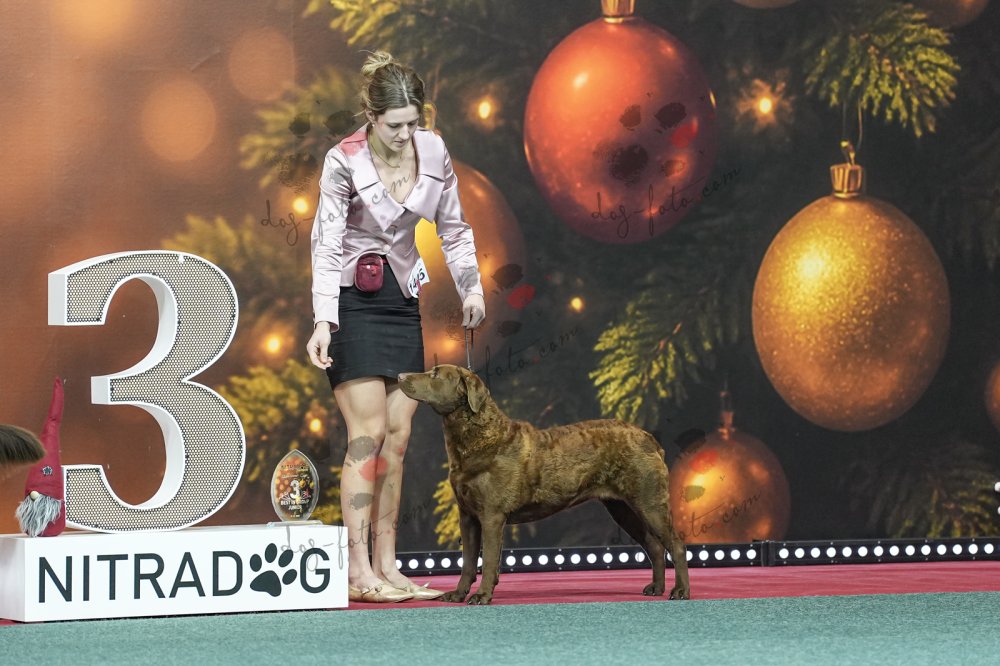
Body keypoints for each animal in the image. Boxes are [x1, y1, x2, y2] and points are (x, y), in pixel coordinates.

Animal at [398, 364, 690, 605]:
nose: (400, 376)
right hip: (622, 508)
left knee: (676, 544)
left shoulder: (492, 516)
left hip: (649, 503)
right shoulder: (468, 516)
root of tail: (648, 438)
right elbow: (468, 562)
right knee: (654, 545)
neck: (477, 439)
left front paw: (482, 596)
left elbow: (489, 558)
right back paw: (656, 588)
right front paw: (458, 594)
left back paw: (680, 591)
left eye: (435, 374)